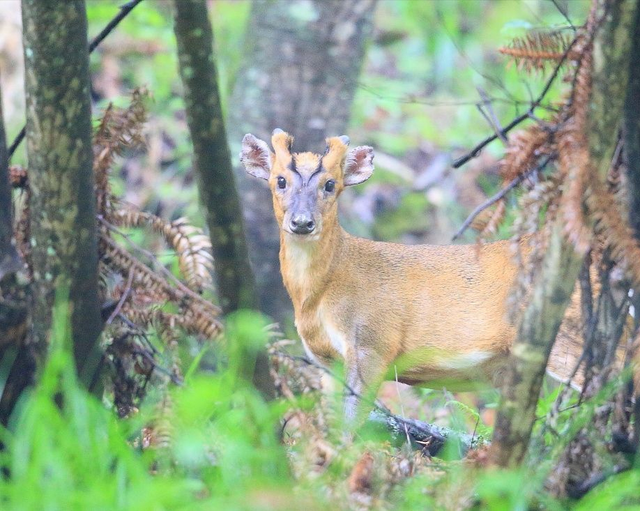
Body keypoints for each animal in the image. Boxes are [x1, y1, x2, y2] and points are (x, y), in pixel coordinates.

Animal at [240, 128, 604, 420]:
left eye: (330, 184)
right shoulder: (326, 360)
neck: (321, 293)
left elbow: (352, 428)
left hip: (571, 338)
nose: (302, 222)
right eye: (280, 181)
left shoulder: (374, 343)